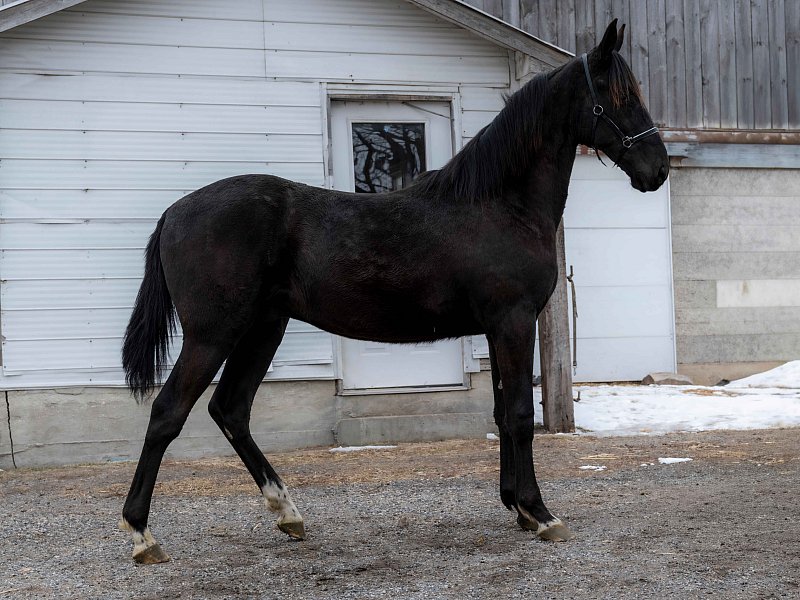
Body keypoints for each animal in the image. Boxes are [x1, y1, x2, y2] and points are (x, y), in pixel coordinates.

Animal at [119, 20, 668, 563]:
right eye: (615, 94)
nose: (658, 169)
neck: (498, 204)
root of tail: (175, 212)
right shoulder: (514, 320)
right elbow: (518, 414)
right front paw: (541, 513)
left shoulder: (496, 328)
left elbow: (499, 410)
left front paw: (516, 506)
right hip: (213, 335)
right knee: (169, 412)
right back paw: (142, 534)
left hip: (262, 328)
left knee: (230, 409)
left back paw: (288, 513)